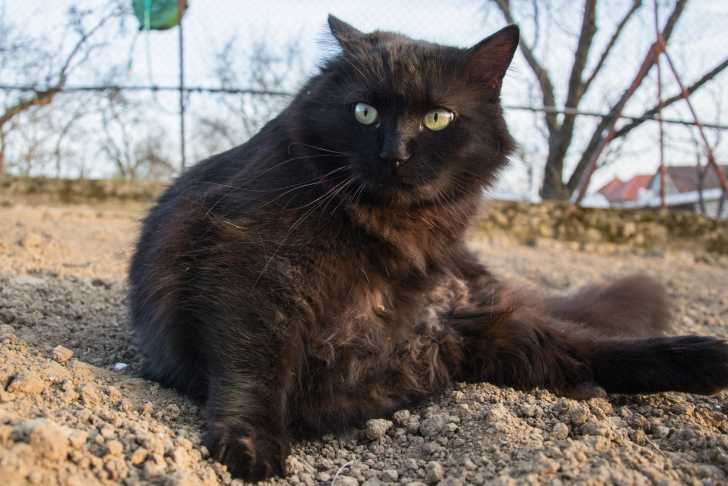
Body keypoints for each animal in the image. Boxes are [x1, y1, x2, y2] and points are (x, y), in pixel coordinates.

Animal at [129, 16, 728, 481]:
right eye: (364, 112)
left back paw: (706, 358)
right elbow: (253, 366)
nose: (395, 153)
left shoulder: (458, 328)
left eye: (439, 118)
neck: (398, 235)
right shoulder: (251, 273)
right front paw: (250, 444)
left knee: (590, 343)